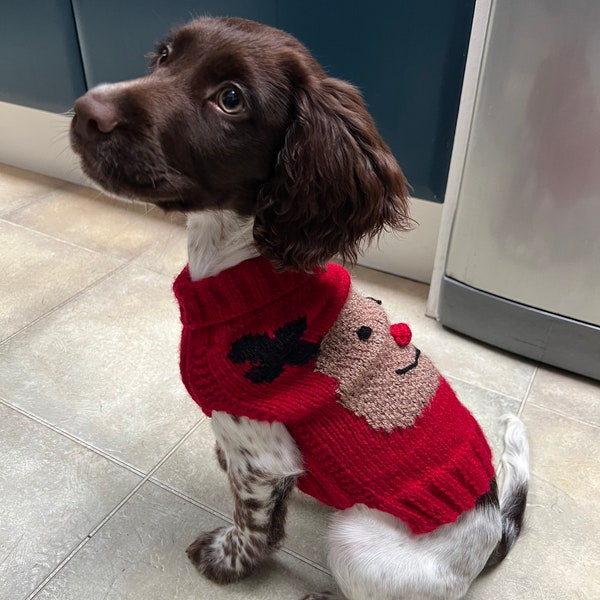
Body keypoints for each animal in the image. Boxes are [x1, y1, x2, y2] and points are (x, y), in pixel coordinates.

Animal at [71, 17, 528, 600]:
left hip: (355, 538)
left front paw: (226, 562)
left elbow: (252, 524)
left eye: (231, 99)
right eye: (165, 56)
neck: (244, 270)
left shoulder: (262, 455)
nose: (86, 110)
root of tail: (494, 533)